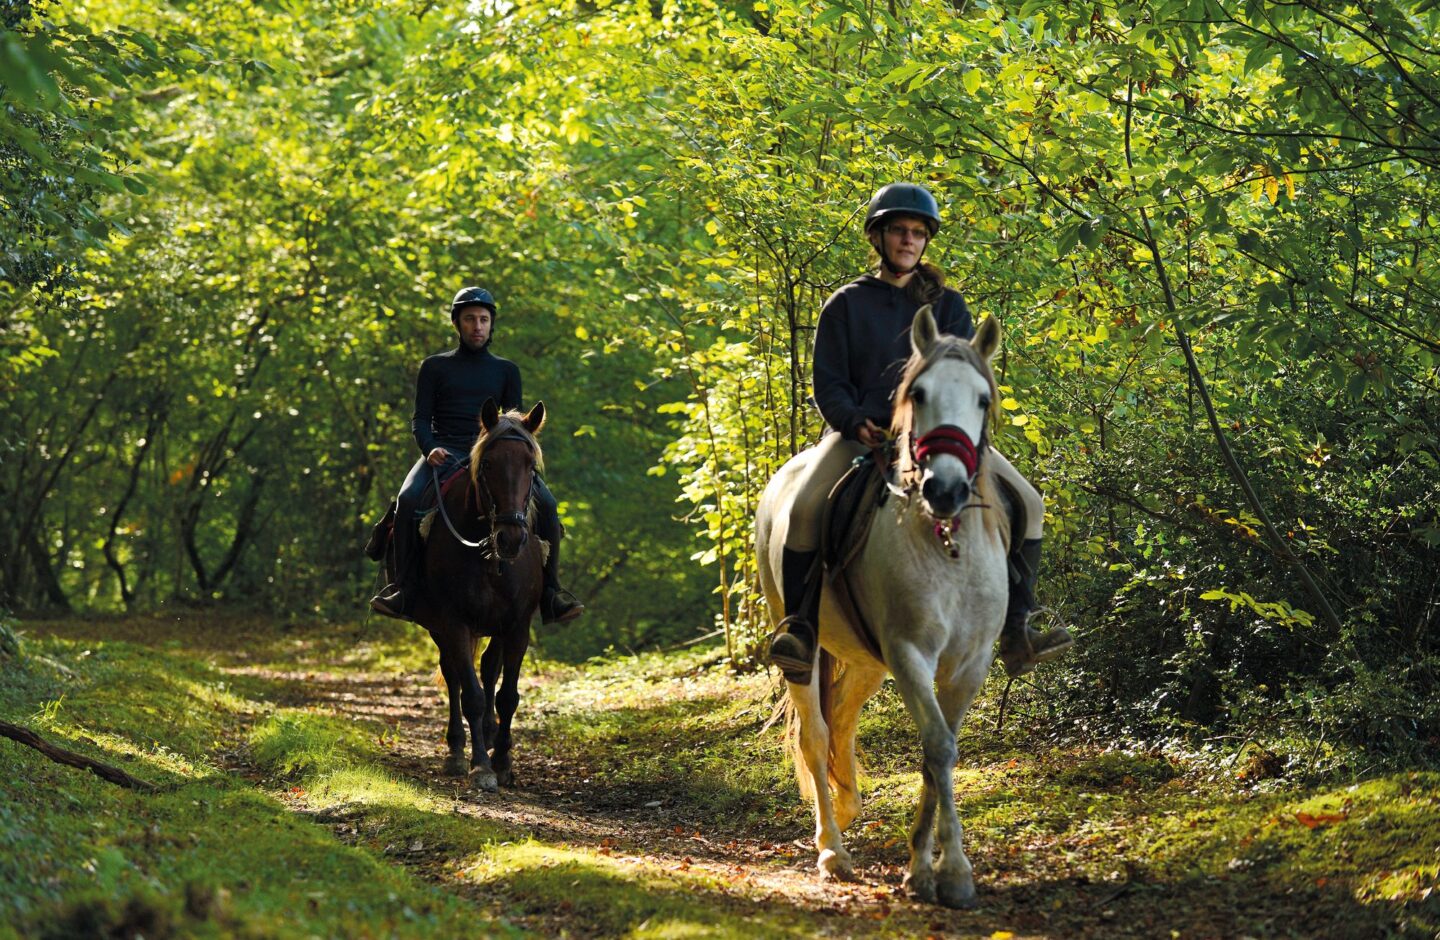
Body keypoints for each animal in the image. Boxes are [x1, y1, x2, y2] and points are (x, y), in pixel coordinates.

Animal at [388, 398, 547, 793]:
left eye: (530, 466)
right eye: (487, 464)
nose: (511, 538)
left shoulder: (517, 625)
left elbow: (507, 695)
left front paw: (503, 761)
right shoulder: (454, 622)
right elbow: (470, 695)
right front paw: (481, 767)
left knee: (489, 669)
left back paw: (489, 734)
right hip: (439, 626)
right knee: (455, 676)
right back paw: (457, 750)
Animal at [755, 305, 1010, 909]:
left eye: (982, 399)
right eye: (917, 393)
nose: (945, 489)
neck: (945, 543)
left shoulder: (969, 665)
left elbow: (938, 751)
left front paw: (931, 865)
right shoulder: (911, 654)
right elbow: (937, 746)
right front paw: (944, 872)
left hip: (867, 659)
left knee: (843, 724)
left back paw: (849, 809)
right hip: (804, 648)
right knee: (816, 735)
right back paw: (832, 850)